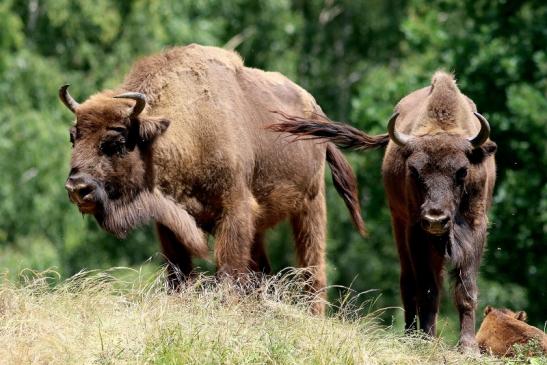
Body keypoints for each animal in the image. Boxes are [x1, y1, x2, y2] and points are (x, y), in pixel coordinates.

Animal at [58, 44, 364, 312]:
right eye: (73, 137)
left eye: (117, 143)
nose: (77, 188)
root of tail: (315, 107)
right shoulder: (169, 220)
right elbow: (179, 273)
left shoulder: (235, 212)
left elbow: (228, 270)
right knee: (265, 270)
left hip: (310, 205)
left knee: (313, 268)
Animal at [272, 71, 498, 350]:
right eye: (414, 171)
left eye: (462, 171)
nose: (435, 218)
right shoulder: (414, 230)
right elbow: (427, 288)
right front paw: (426, 339)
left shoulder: (475, 228)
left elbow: (466, 288)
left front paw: (467, 347)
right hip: (399, 225)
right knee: (409, 283)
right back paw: (412, 333)